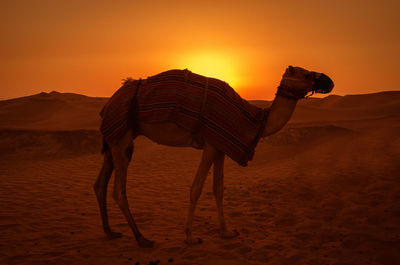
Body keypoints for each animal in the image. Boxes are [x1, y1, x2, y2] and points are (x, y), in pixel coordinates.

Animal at [94, 65, 334, 246]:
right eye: (306, 74)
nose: (329, 81)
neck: (253, 119)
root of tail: (108, 104)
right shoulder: (210, 145)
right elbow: (196, 188)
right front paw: (190, 237)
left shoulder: (220, 147)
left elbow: (218, 188)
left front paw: (226, 232)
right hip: (122, 140)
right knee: (118, 191)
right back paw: (141, 238)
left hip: (116, 139)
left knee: (100, 184)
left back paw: (110, 232)